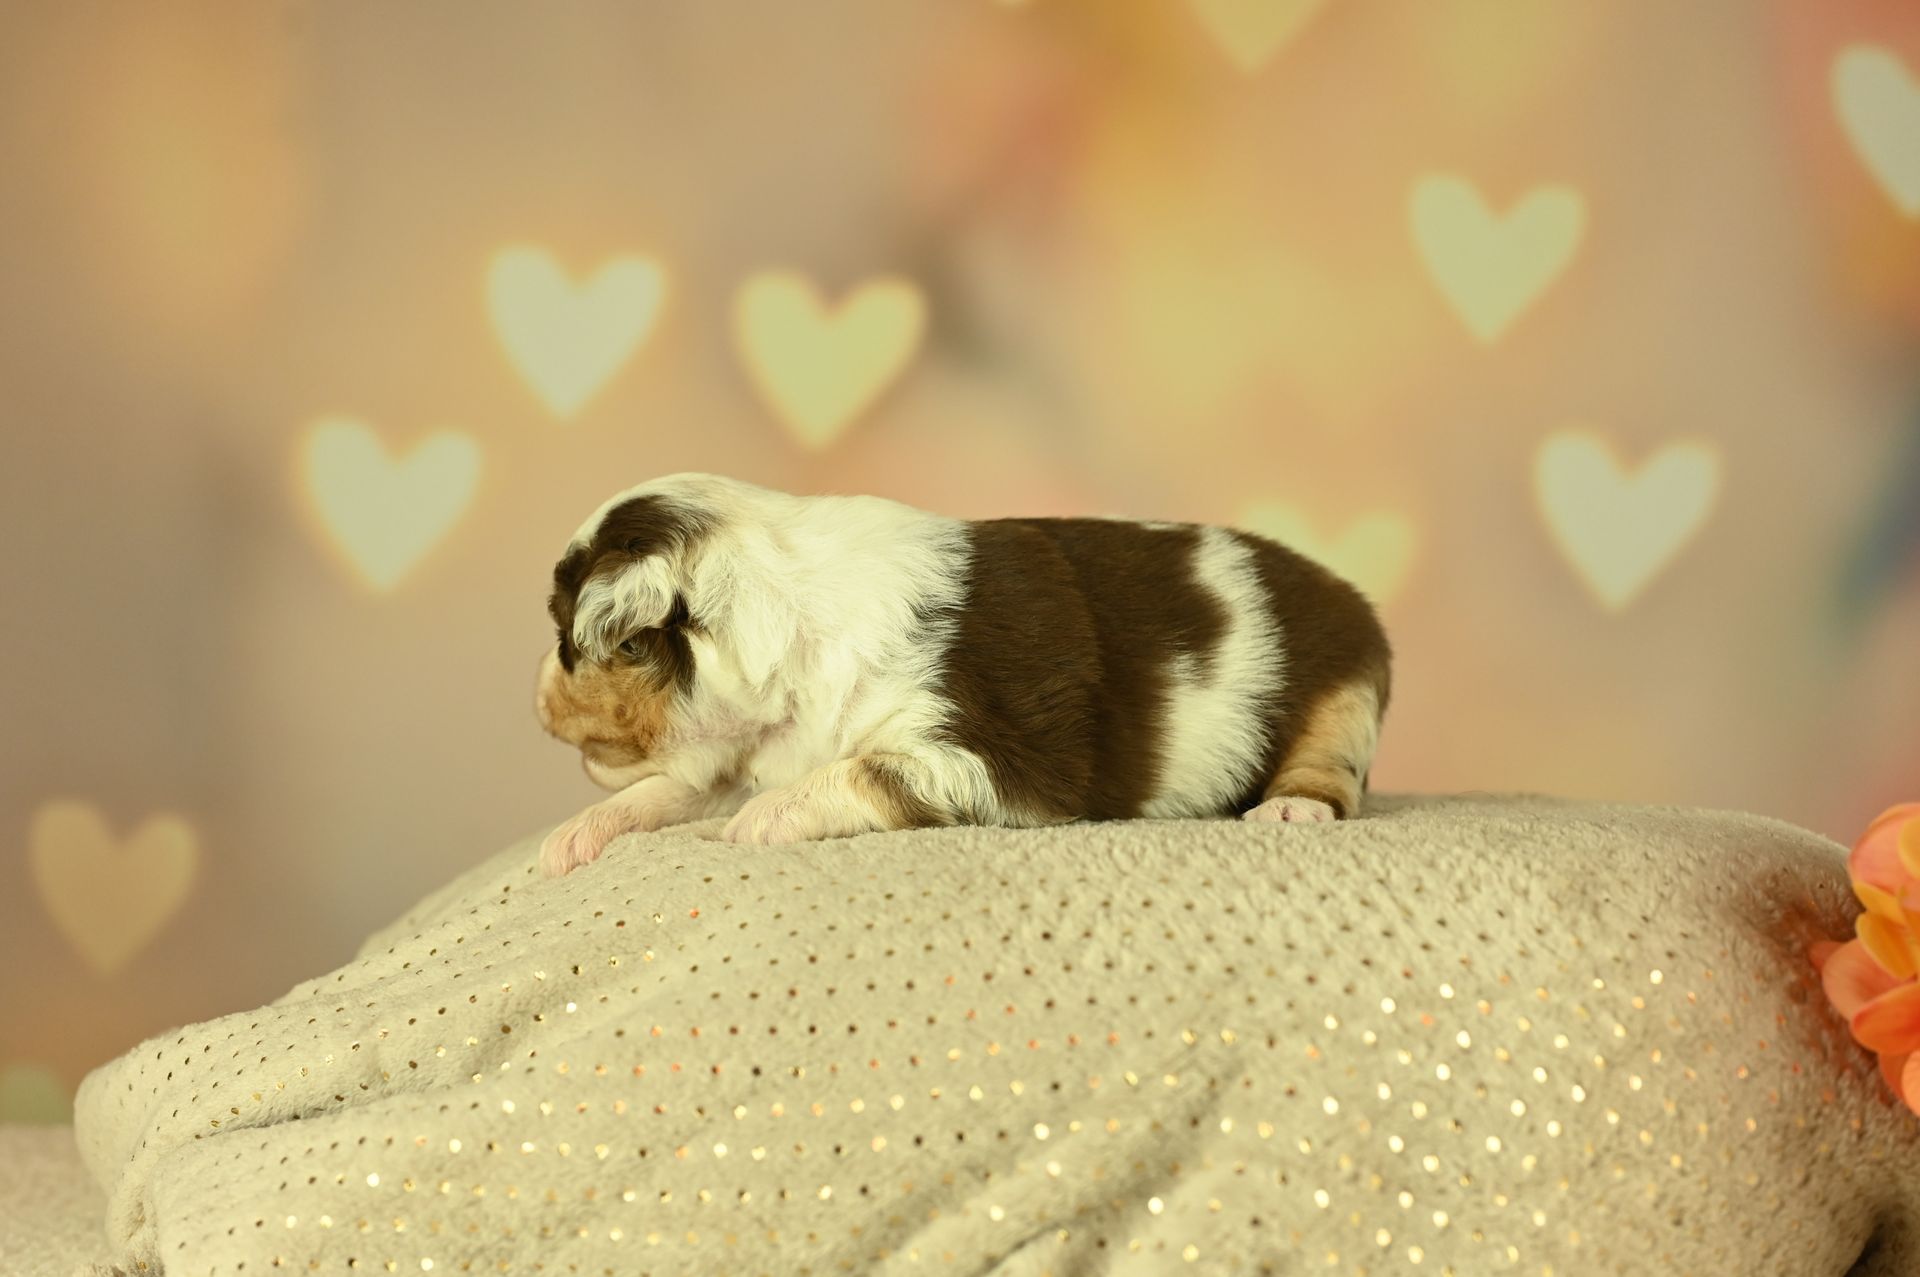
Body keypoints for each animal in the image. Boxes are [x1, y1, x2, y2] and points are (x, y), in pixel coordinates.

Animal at [534, 474, 1390, 876]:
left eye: (562, 633)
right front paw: (574, 835)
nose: (536, 692)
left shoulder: (988, 756)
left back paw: (1289, 810)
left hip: (1342, 697)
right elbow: (670, 789)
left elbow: (861, 770)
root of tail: (1352, 596)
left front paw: (763, 817)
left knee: (1332, 773)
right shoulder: (736, 748)